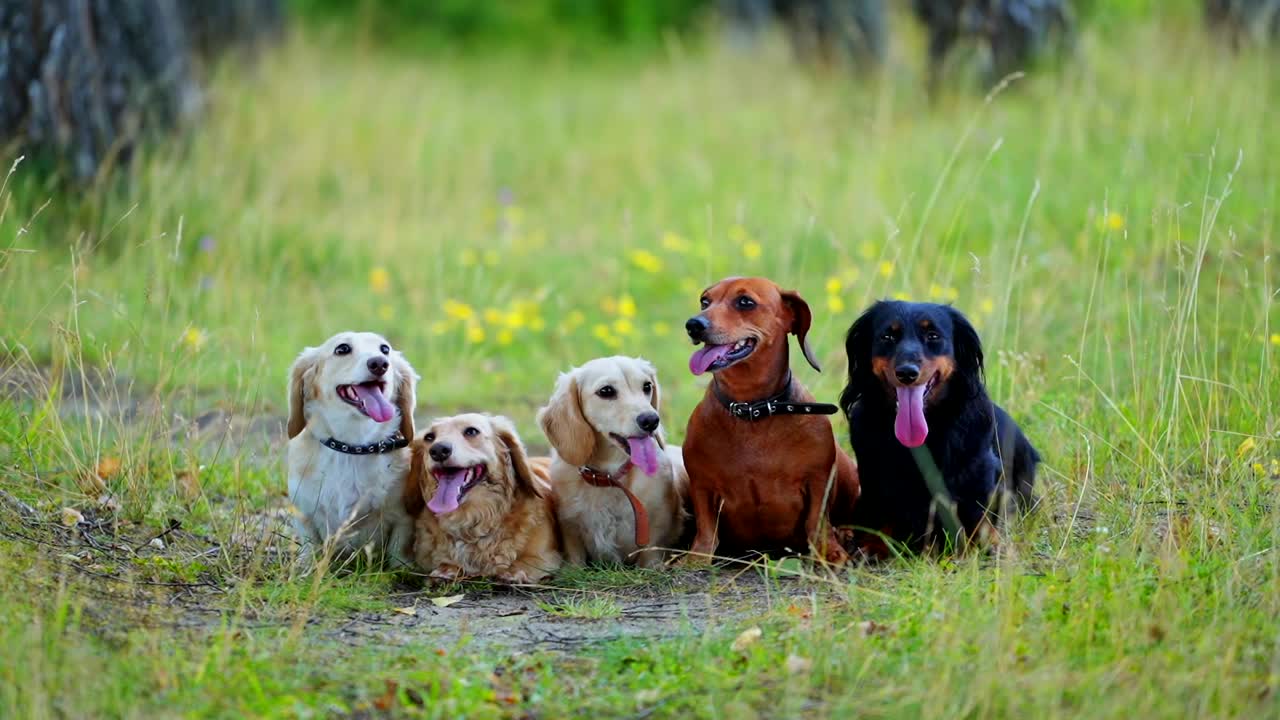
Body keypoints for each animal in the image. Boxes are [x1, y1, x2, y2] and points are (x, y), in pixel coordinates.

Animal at [286, 330, 419, 566]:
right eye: (342, 349)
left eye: (385, 349)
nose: (380, 363)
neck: (352, 448)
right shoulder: (304, 512)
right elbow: (310, 545)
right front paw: (305, 568)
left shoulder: (403, 517)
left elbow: (398, 551)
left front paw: (401, 569)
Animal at [409, 409, 560, 584]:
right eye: (429, 437)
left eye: (471, 431)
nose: (438, 450)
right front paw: (446, 570)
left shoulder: (547, 556)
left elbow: (525, 561)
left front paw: (513, 572)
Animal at [535, 353, 686, 566]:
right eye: (606, 391)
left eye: (647, 386)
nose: (651, 420)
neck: (609, 478)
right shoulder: (570, 528)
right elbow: (575, 559)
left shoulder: (655, 535)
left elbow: (650, 556)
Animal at [680, 274, 860, 561]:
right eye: (705, 301)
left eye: (745, 302)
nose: (694, 325)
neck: (752, 410)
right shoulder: (702, 485)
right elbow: (706, 528)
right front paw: (697, 557)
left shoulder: (818, 481)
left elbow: (817, 522)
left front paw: (830, 552)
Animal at [839, 298, 1039, 556]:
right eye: (887, 337)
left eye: (933, 336)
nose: (906, 373)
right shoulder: (875, 476)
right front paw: (874, 544)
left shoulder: (980, 472)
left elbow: (978, 513)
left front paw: (986, 545)